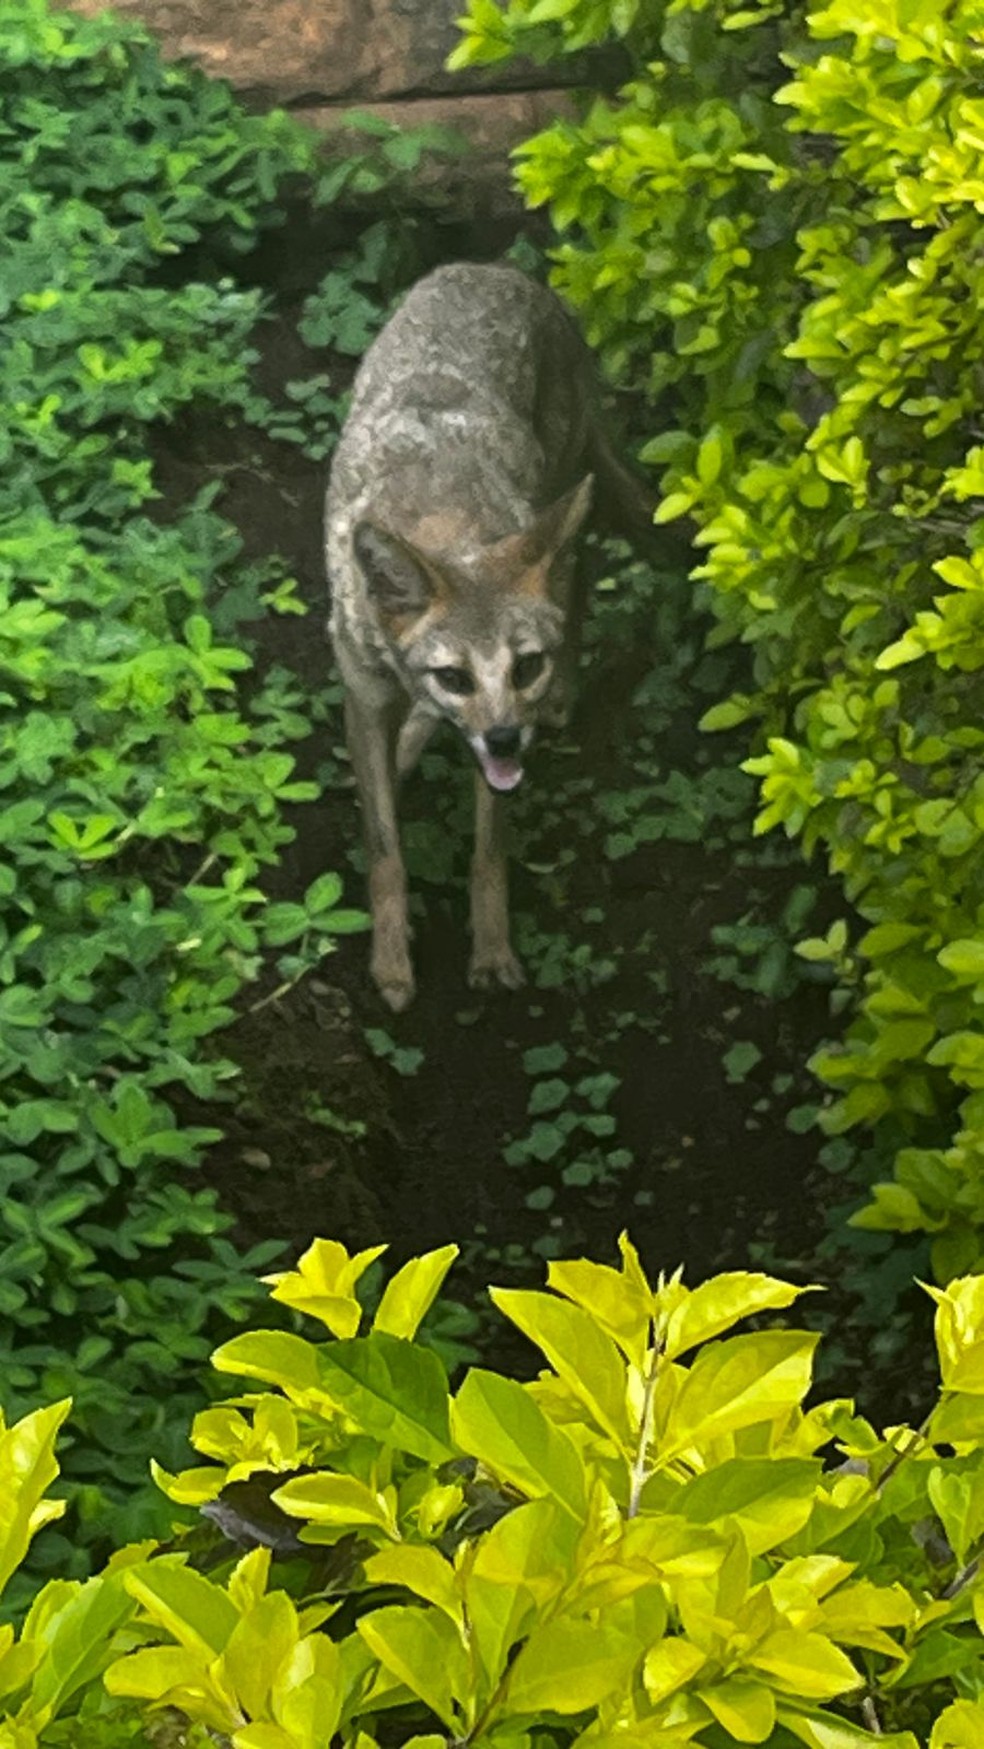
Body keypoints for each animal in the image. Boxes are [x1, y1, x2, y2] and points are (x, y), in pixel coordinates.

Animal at [325, 258, 653, 1014]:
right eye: (454, 675)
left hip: (563, 502)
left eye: (525, 665)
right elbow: (385, 851)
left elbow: (488, 854)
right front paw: (392, 965)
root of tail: (495, 270)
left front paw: (493, 953)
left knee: (579, 574)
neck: (438, 515)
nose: (507, 739)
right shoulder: (365, 697)